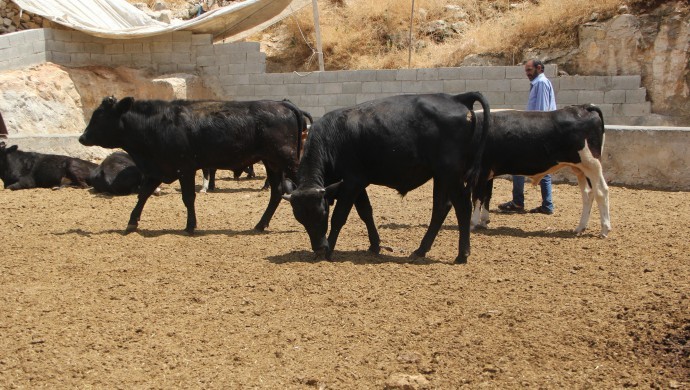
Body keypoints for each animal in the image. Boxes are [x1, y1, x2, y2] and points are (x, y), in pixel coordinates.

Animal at [78, 96, 304, 235]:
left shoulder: (184, 168)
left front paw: (190, 226)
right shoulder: (158, 169)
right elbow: (143, 195)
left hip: (286, 159)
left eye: (100, 117)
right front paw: (132, 222)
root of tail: (283, 105)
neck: (156, 125)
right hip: (272, 163)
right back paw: (260, 224)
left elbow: (188, 198)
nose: (82, 137)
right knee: (276, 192)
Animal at [280, 93, 490, 266]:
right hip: (440, 176)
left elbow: (339, 217)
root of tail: (456, 98)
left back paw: (462, 254)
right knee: (441, 208)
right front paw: (374, 245)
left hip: (451, 174)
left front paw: (329, 250)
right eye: (300, 218)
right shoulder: (358, 184)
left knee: (462, 207)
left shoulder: (351, 183)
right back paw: (420, 250)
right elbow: (366, 212)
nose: (318, 248)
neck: (333, 138)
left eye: (322, 213)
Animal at [470, 104, 612, 238]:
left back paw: (604, 230)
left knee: (601, 192)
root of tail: (584, 107)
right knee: (588, 194)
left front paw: (472, 223)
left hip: (592, 164)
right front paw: (484, 221)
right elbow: (487, 196)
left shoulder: (480, 172)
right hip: (581, 169)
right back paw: (580, 228)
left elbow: (477, 197)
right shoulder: (488, 173)